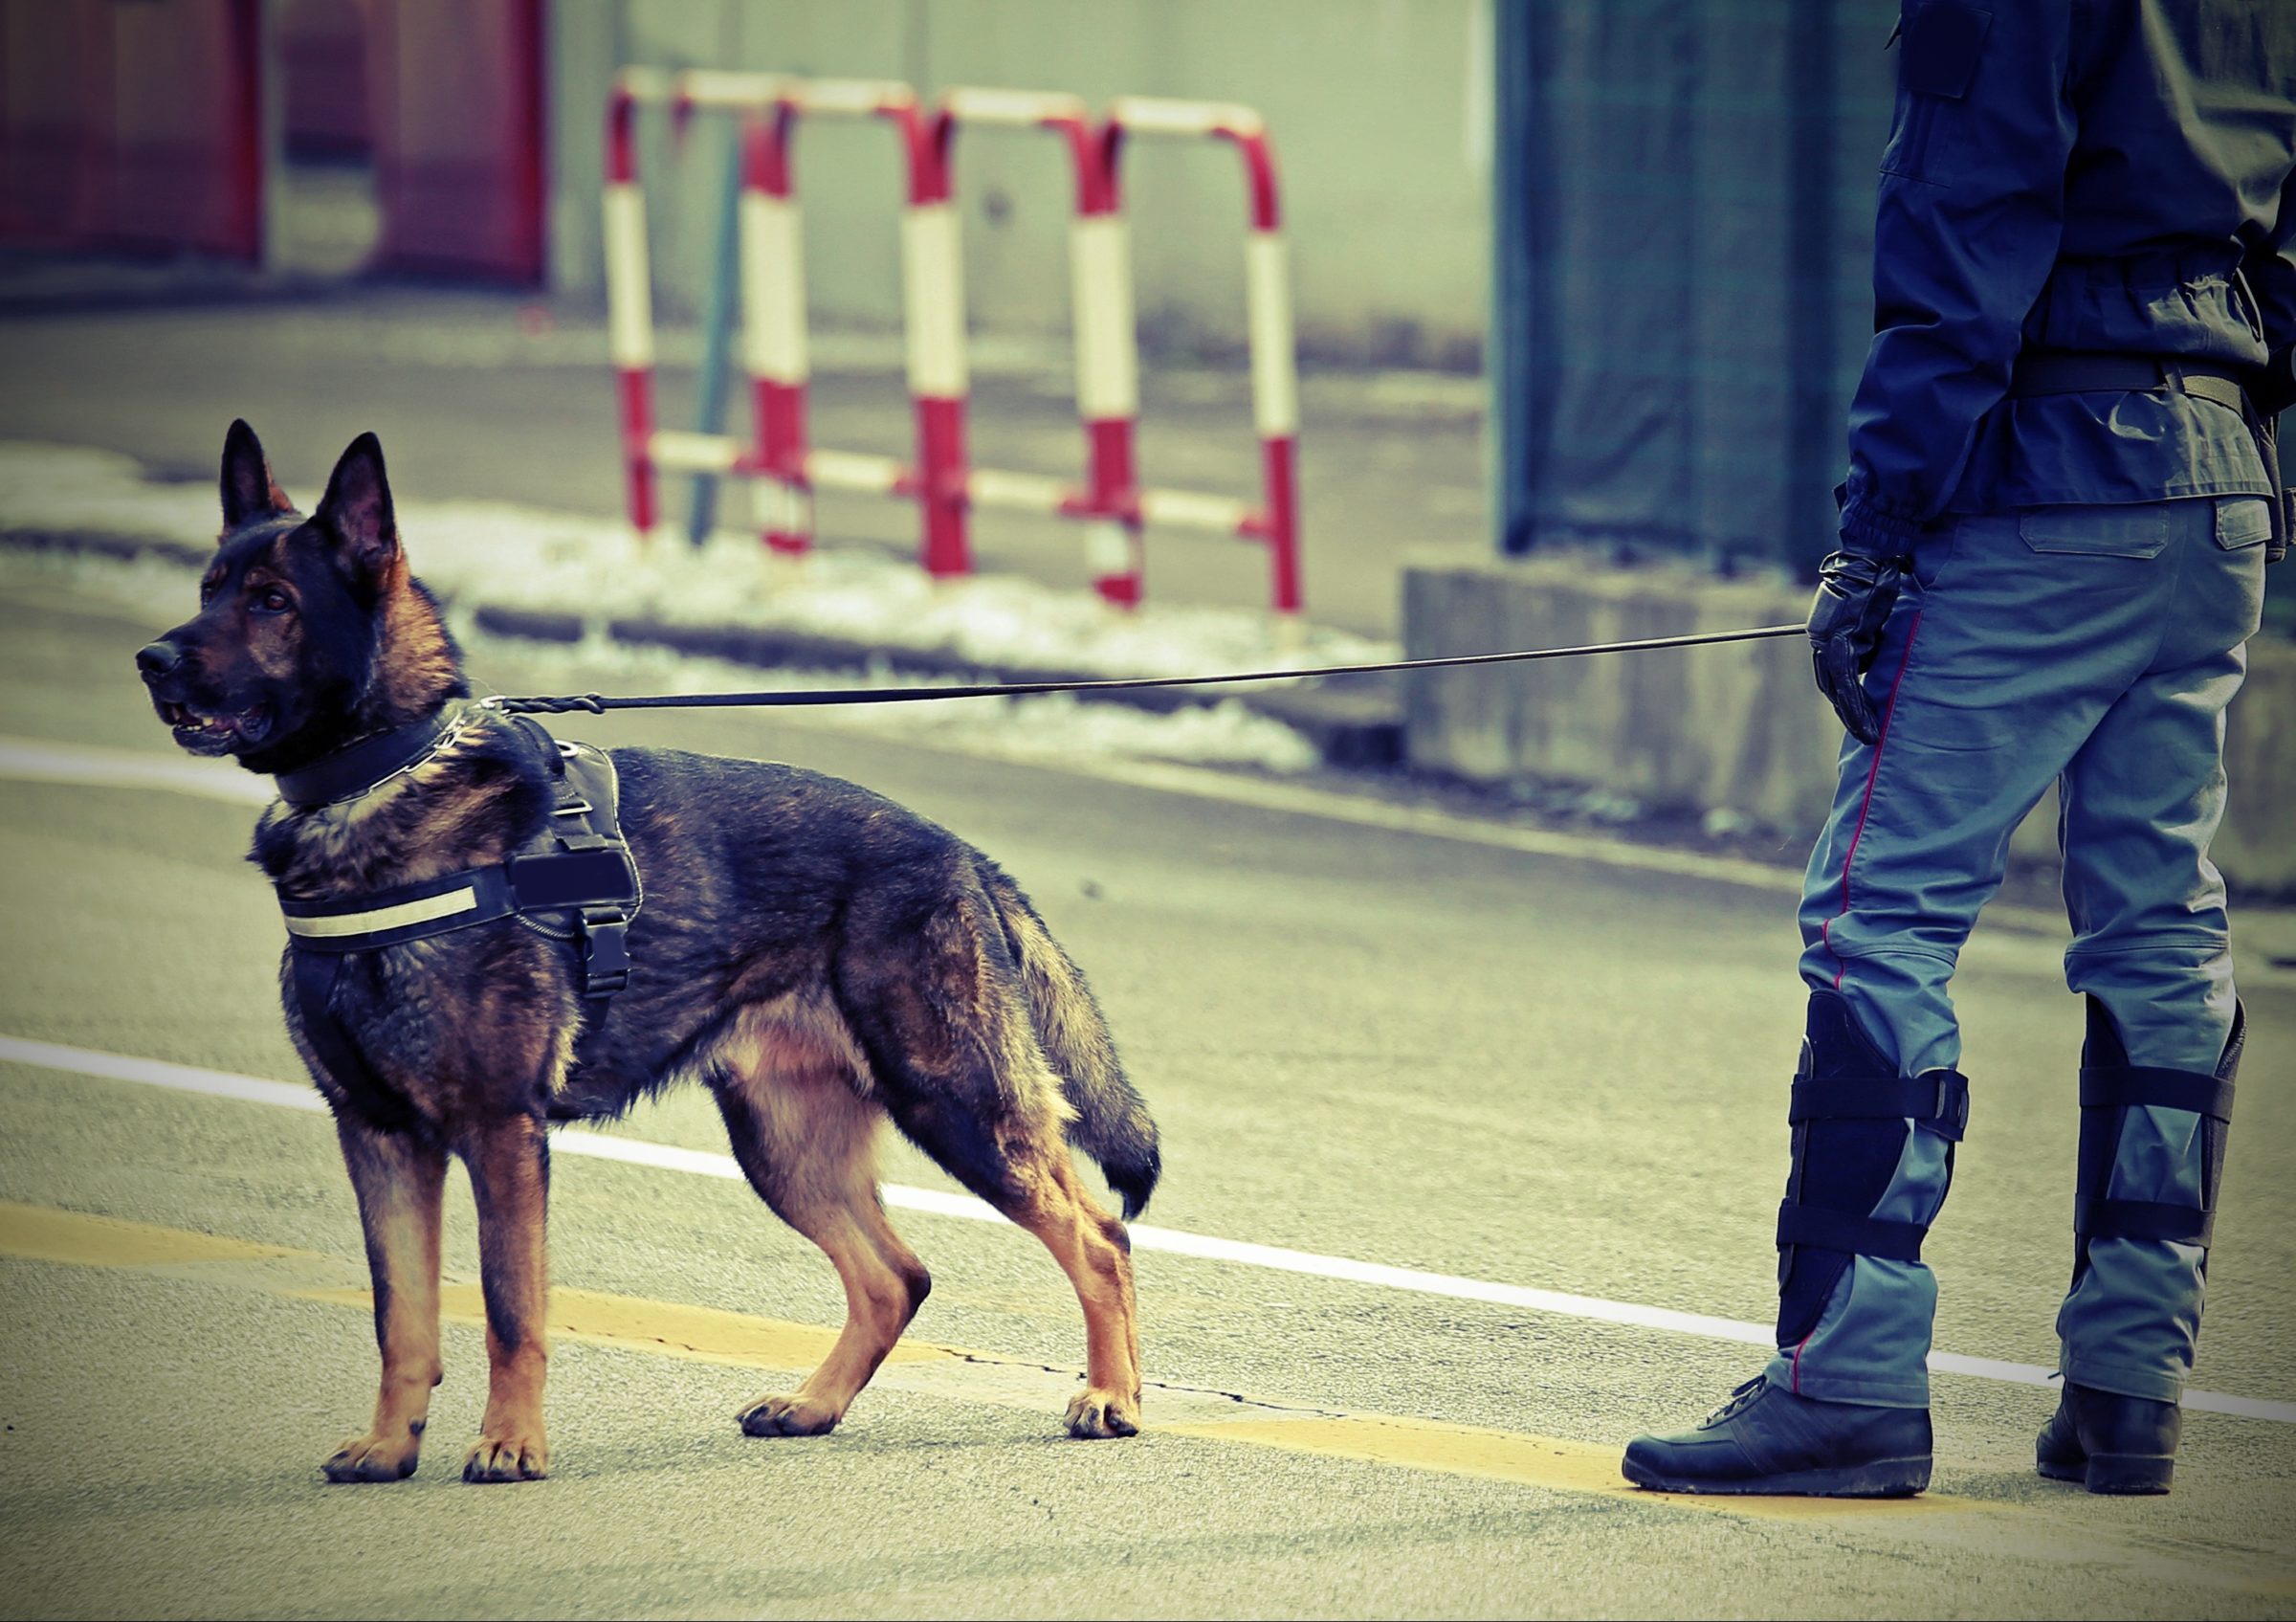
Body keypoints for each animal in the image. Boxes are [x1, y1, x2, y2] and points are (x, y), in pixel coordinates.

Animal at [134, 420, 1157, 1479]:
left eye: (272, 601)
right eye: (210, 587)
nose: (151, 659)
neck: (385, 777)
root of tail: (963, 853)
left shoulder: (500, 1130)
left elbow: (509, 1307)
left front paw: (511, 1446)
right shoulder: (378, 1135)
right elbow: (400, 1314)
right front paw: (388, 1446)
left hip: (956, 1103)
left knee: (1099, 1237)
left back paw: (1111, 1397)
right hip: (785, 1145)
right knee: (896, 1276)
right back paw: (813, 1405)